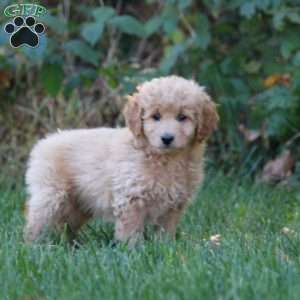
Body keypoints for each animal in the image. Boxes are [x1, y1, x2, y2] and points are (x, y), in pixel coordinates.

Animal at [24, 75, 218, 244]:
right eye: (155, 116)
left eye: (182, 117)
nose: (167, 138)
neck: (165, 158)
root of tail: (46, 141)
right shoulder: (131, 198)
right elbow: (130, 229)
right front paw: (132, 250)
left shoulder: (173, 205)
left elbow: (165, 230)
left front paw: (164, 247)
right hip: (52, 195)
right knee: (36, 221)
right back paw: (33, 246)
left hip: (78, 204)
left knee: (65, 225)